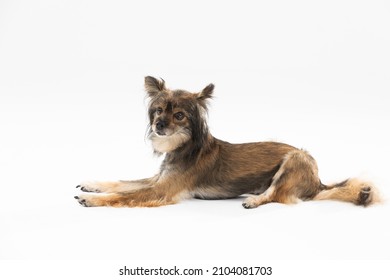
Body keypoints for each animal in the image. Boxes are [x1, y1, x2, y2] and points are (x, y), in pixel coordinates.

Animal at [74, 76, 380, 208]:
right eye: (159, 111)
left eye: (179, 115)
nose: (159, 125)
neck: (182, 148)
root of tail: (318, 182)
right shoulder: (158, 179)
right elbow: (122, 183)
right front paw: (92, 184)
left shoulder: (162, 190)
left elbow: (125, 194)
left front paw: (92, 198)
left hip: (296, 158)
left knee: (277, 194)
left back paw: (255, 200)